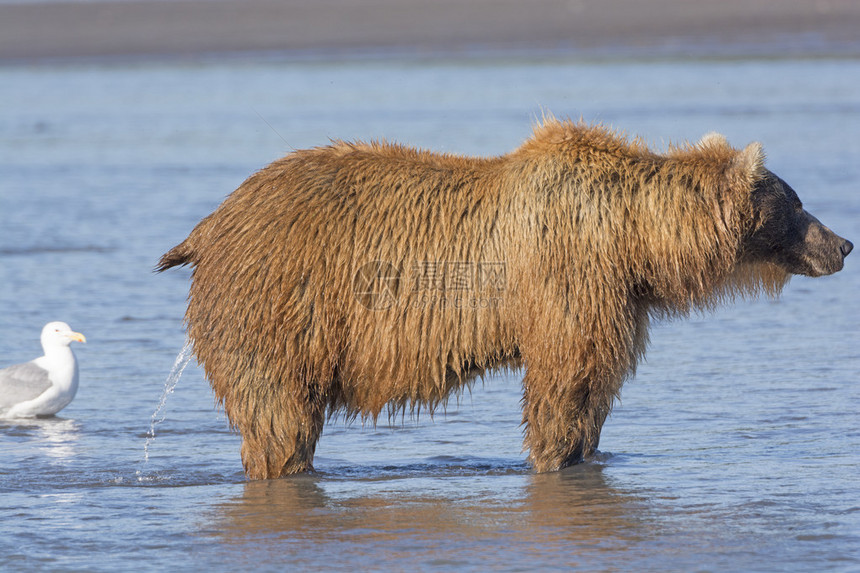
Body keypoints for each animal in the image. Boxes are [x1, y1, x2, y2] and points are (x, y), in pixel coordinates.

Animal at [158, 119, 848, 478]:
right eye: (796, 203)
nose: (842, 244)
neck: (635, 237)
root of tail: (209, 225)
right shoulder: (570, 280)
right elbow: (564, 384)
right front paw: (553, 459)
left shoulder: (618, 297)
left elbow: (596, 389)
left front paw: (589, 453)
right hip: (280, 307)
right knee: (280, 417)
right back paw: (285, 468)